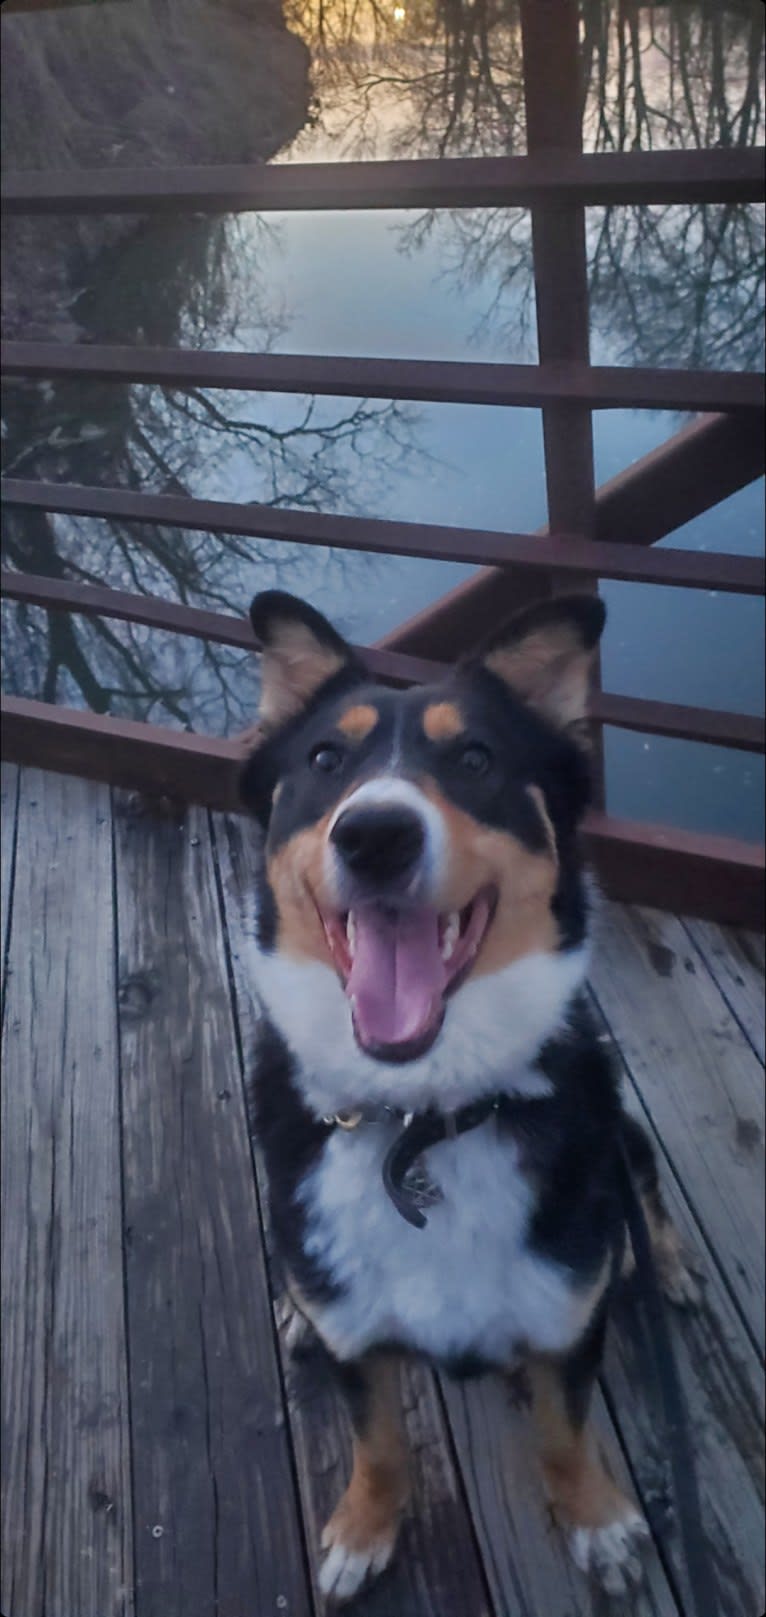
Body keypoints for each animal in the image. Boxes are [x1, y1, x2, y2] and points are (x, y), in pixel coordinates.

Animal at [240, 591, 694, 1604]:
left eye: (477, 759)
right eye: (325, 760)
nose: (374, 834)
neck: (422, 1120)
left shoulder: (566, 1319)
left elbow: (565, 1432)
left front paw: (597, 1520)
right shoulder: (360, 1341)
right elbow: (378, 1444)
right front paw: (363, 1528)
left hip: (625, 1134)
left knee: (645, 1199)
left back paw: (669, 1265)